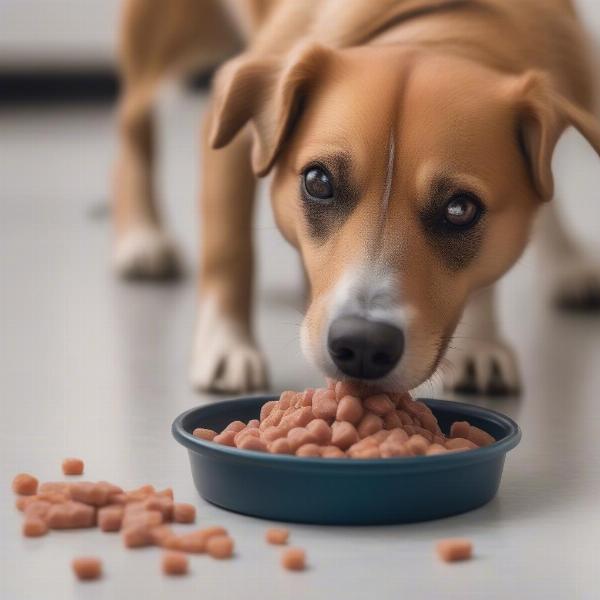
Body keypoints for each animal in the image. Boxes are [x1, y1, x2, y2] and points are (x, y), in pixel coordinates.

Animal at [112, 2, 600, 398]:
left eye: (461, 209)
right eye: (318, 181)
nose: (363, 345)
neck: (445, 27)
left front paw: (481, 341)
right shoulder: (232, 133)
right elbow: (229, 250)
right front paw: (226, 347)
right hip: (162, 37)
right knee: (133, 124)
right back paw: (140, 235)